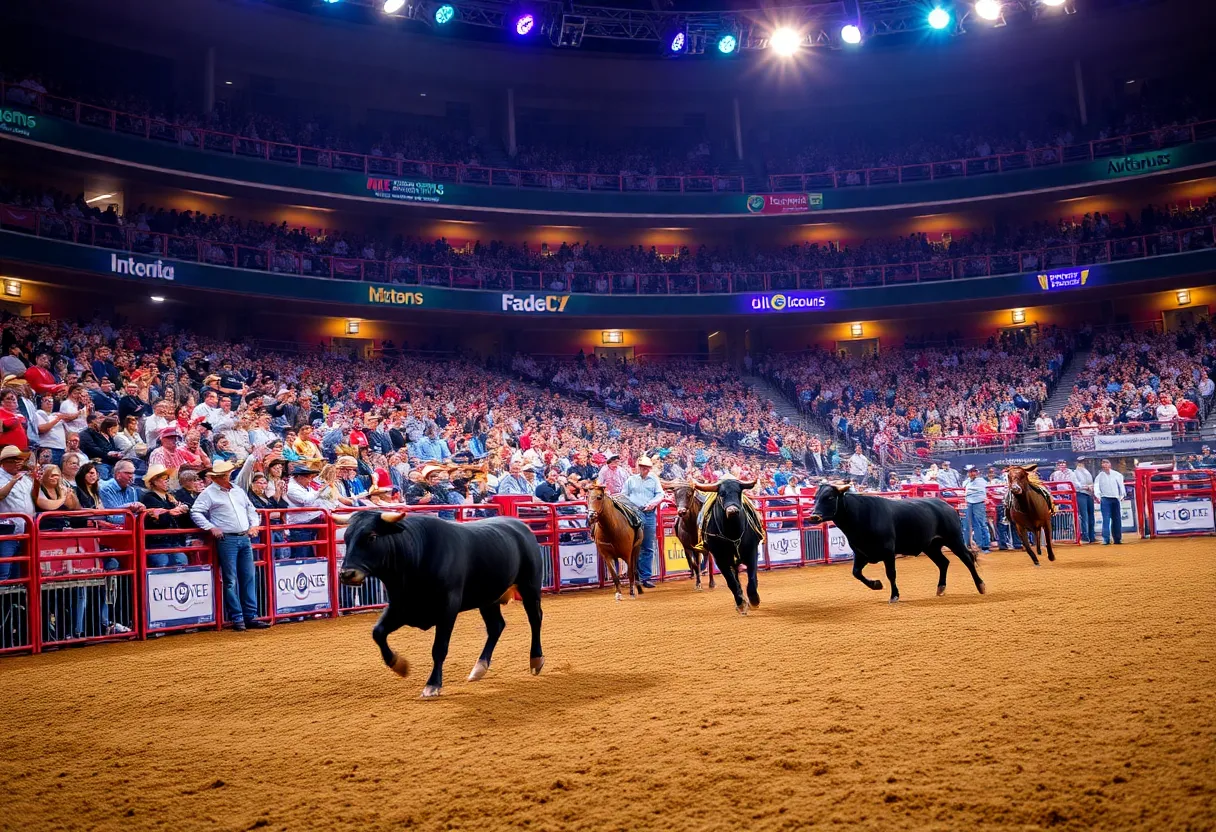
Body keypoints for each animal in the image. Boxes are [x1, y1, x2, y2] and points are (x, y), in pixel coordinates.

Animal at [336, 510, 545, 699]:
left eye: (371, 536)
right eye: (346, 537)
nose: (346, 574)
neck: (415, 556)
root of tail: (520, 526)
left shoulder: (447, 609)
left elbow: (439, 648)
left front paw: (432, 685)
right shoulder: (400, 607)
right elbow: (378, 632)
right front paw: (399, 665)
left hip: (530, 587)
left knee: (535, 619)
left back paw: (536, 660)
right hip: (488, 598)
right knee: (496, 626)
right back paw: (479, 668)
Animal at [696, 477, 764, 615]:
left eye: (739, 492)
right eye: (721, 494)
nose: (732, 511)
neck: (732, 533)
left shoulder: (752, 552)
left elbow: (752, 577)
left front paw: (754, 600)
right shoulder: (720, 559)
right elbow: (731, 582)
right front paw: (741, 603)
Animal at [809, 482, 987, 603]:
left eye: (830, 497)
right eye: (815, 498)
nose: (814, 516)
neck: (860, 516)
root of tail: (947, 506)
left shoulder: (888, 551)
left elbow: (891, 573)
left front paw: (894, 595)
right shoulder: (861, 553)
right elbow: (856, 572)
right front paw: (876, 584)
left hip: (954, 539)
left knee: (967, 559)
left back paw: (980, 585)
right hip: (931, 546)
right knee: (943, 562)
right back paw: (940, 587)